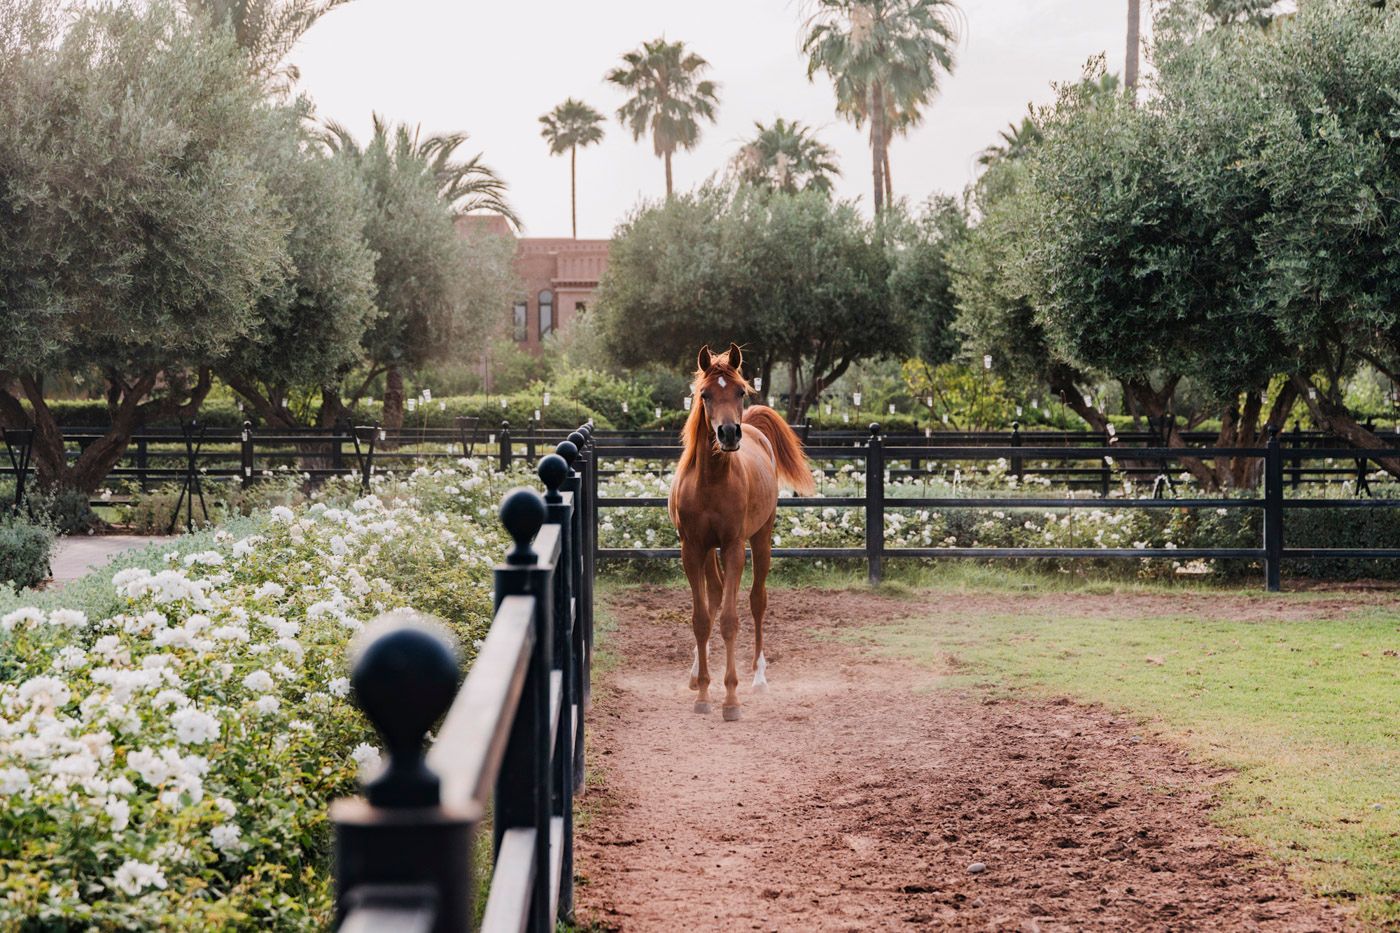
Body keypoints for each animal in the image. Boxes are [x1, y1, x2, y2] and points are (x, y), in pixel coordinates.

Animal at [667, 343, 815, 721]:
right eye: (704, 394)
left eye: (740, 392)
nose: (729, 433)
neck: (711, 482)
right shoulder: (692, 549)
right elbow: (702, 619)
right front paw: (704, 692)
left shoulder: (733, 547)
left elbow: (730, 620)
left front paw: (730, 699)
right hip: (708, 553)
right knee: (715, 596)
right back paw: (696, 674)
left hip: (761, 540)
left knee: (756, 601)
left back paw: (759, 678)